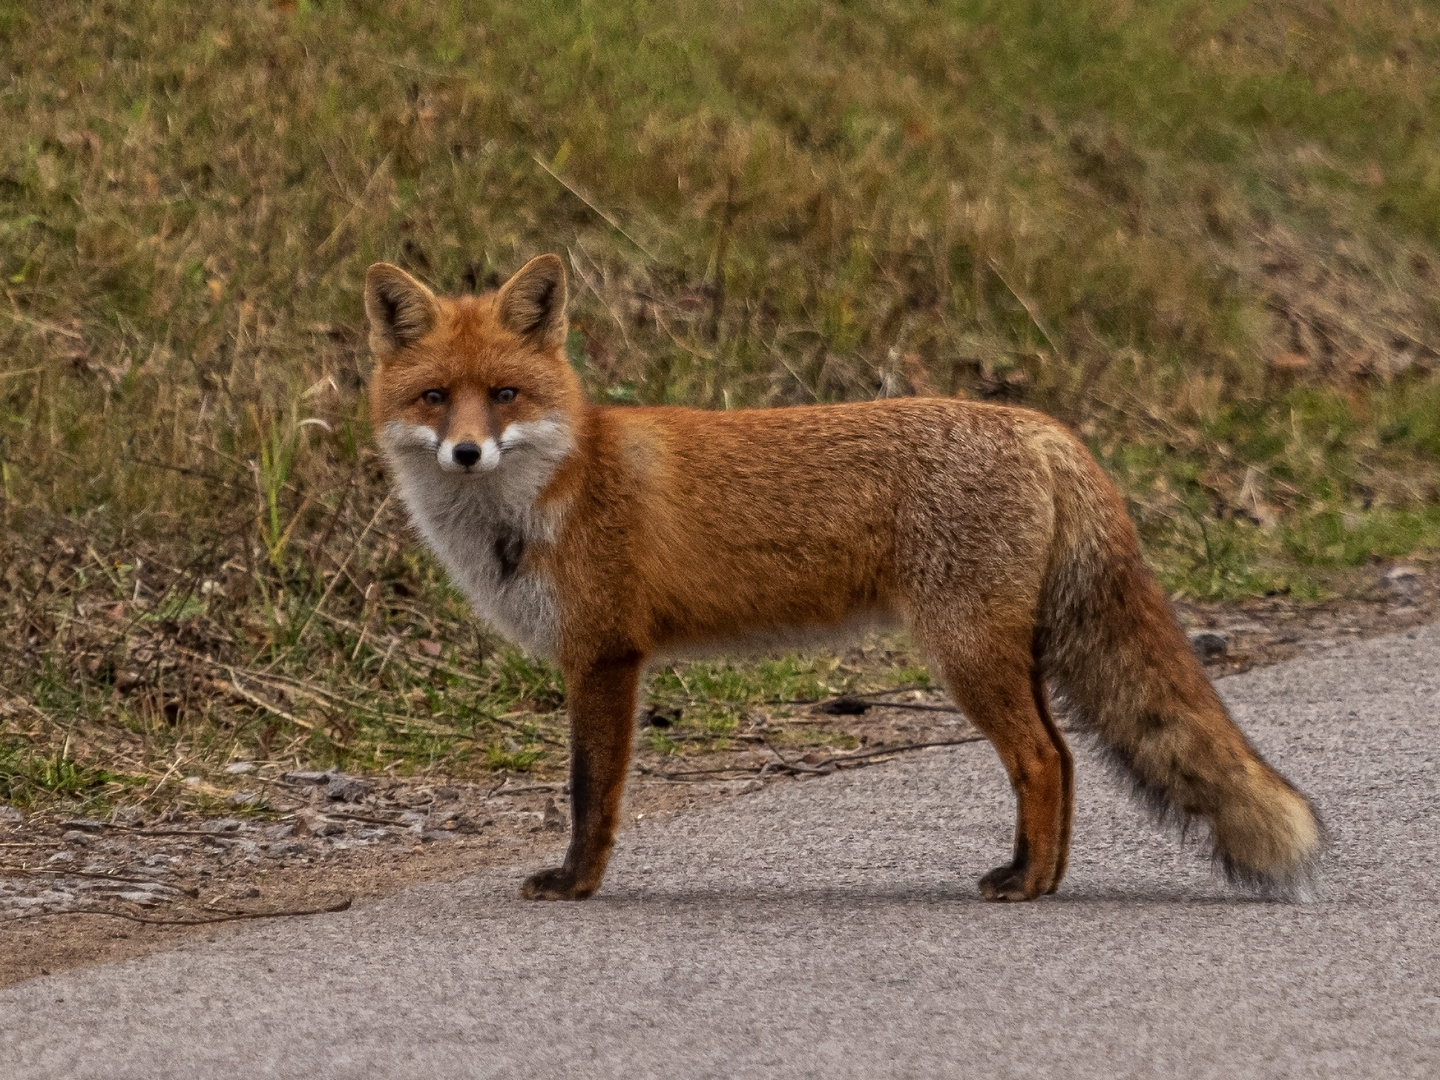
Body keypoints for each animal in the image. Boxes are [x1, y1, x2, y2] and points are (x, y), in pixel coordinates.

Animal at [365, 253, 1319, 904]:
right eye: (435, 398)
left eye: (505, 394)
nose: (465, 452)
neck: (552, 491)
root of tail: (1040, 425)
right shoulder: (597, 656)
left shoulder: (603, 656)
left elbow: (589, 792)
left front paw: (576, 884)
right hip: (1006, 652)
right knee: (1063, 758)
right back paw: (1033, 874)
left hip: (966, 653)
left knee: (1043, 759)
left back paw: (1027, 886)